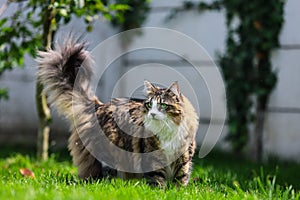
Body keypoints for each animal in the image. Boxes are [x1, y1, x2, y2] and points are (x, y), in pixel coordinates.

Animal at [37, 37, 199, 188]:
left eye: (163, 105)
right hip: (105, 157)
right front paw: (159, 192)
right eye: (149, 105)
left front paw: (176, 192)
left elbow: (180, 181)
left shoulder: (183, 159)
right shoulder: (153, 159)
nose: (152, 114)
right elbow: (157, 180)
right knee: (95, 177)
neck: (167, 131)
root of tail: (98, 105)